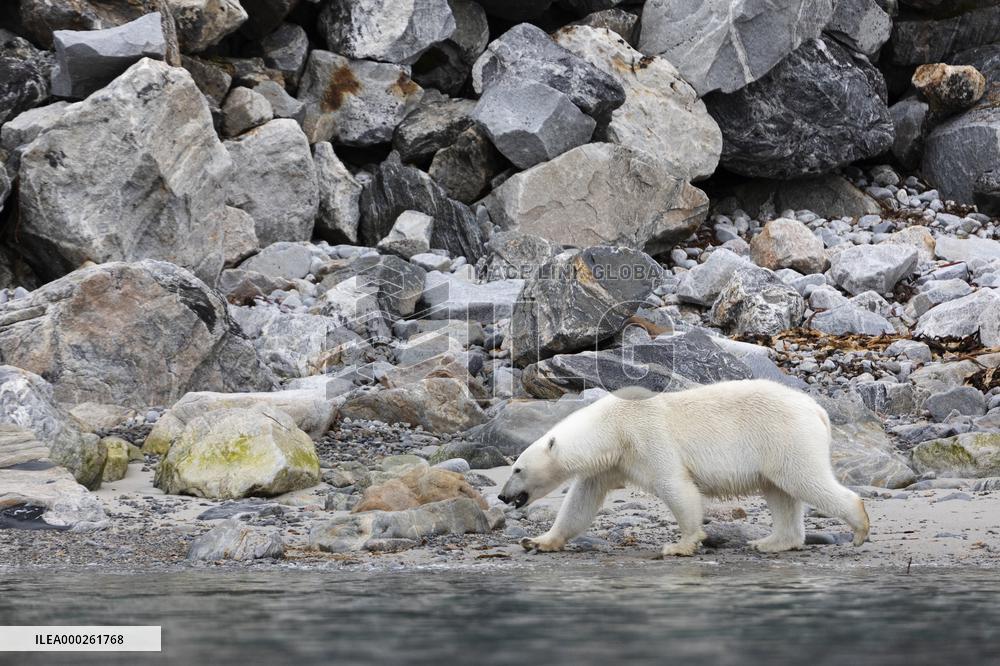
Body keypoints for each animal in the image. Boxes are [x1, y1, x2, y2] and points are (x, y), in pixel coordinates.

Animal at [498, 380, 869, 557]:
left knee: (804, 480)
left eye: (517, 469)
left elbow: (675, 485)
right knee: (779, 491)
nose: (501, 496)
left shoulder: (646, 437)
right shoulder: (609, 464)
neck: (613, 427)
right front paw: (538, 541)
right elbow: (581, 501)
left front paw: (680, 545)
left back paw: (859, 526)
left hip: (785, 436)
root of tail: (817, 410)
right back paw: (770, 542)